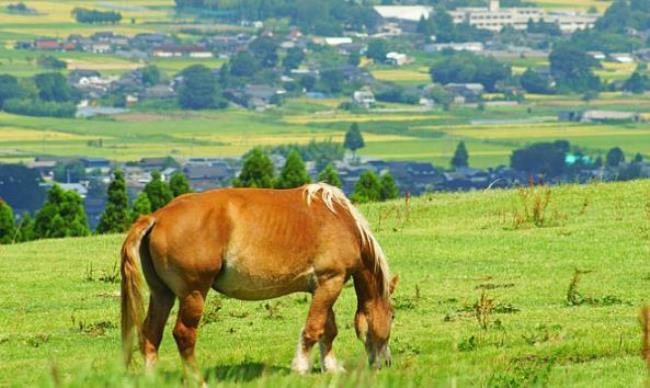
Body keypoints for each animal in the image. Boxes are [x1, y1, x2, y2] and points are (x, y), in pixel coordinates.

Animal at [119, 183, 398, 380]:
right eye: (393, 316)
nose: (386, 363)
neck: (341, 220)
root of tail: (157, 217)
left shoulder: (321, 286)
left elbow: (327, 330)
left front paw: (330, 367)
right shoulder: (331, 281)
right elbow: (313, 329)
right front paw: (300, 368)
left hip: (162, 294)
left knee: (151, 334)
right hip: (193, 294)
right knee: (183, 335)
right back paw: (199, 380)